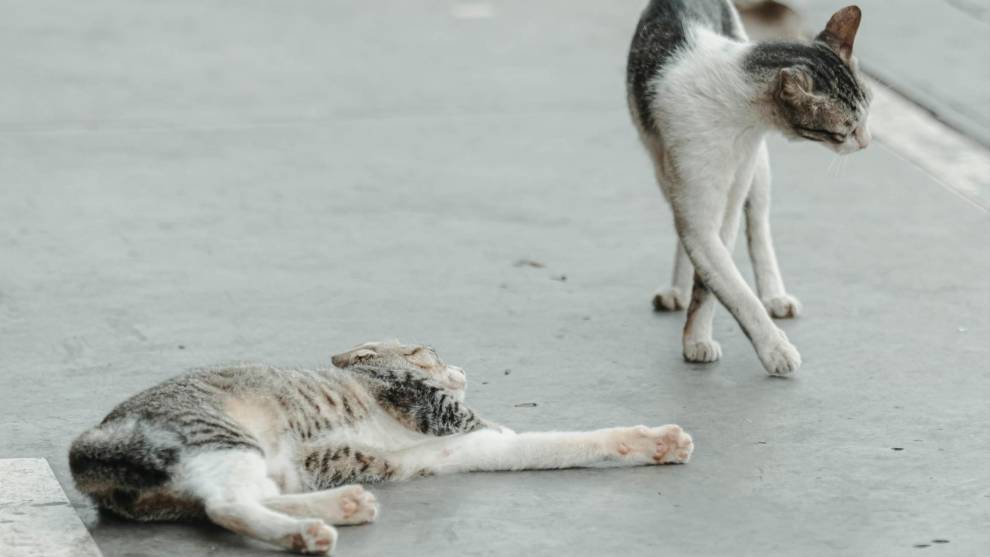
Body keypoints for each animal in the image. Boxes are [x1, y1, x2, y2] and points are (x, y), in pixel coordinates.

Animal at [70, 340, 692, 552]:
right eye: (429, 352)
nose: (461, 369)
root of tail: (87, 452)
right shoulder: (442, 413)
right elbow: (538, 435)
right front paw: (659, 436)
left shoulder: (460, 446)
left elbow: (550, 445)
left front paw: (656, 443)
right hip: (220, 437)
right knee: (226, 507)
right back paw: (313, 532)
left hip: (246, 464)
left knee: (224, 503)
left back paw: (341, 505)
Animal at [632, 1, 872, 374]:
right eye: (845, 130)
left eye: (867, 112)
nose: (867, 140)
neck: (737, 115)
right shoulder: (697, 211)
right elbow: (734, 290)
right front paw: (774, 349)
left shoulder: (732, 198)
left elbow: (714, 283)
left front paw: (697, 337)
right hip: (662, 167)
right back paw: (677, 289)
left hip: (756, 170)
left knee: (758, 226)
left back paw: (774, 295)